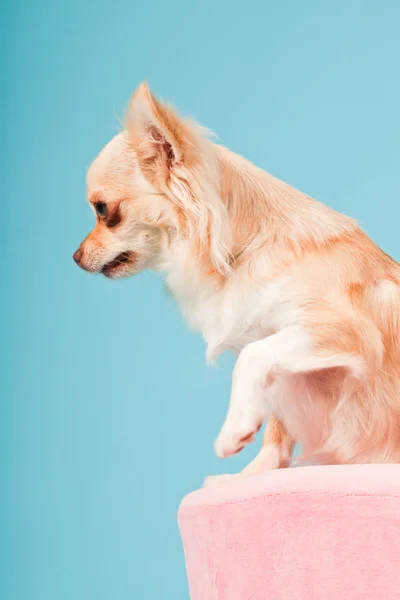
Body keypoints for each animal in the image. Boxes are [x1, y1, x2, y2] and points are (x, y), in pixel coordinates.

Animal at [74, 83, 400, 482]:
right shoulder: (280, 353)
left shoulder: (346, 330)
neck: (247, 254)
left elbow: (251, 356)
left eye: (103, 210)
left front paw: (235, 429)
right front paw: (254, 475)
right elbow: (277, 423)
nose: (75, 256)